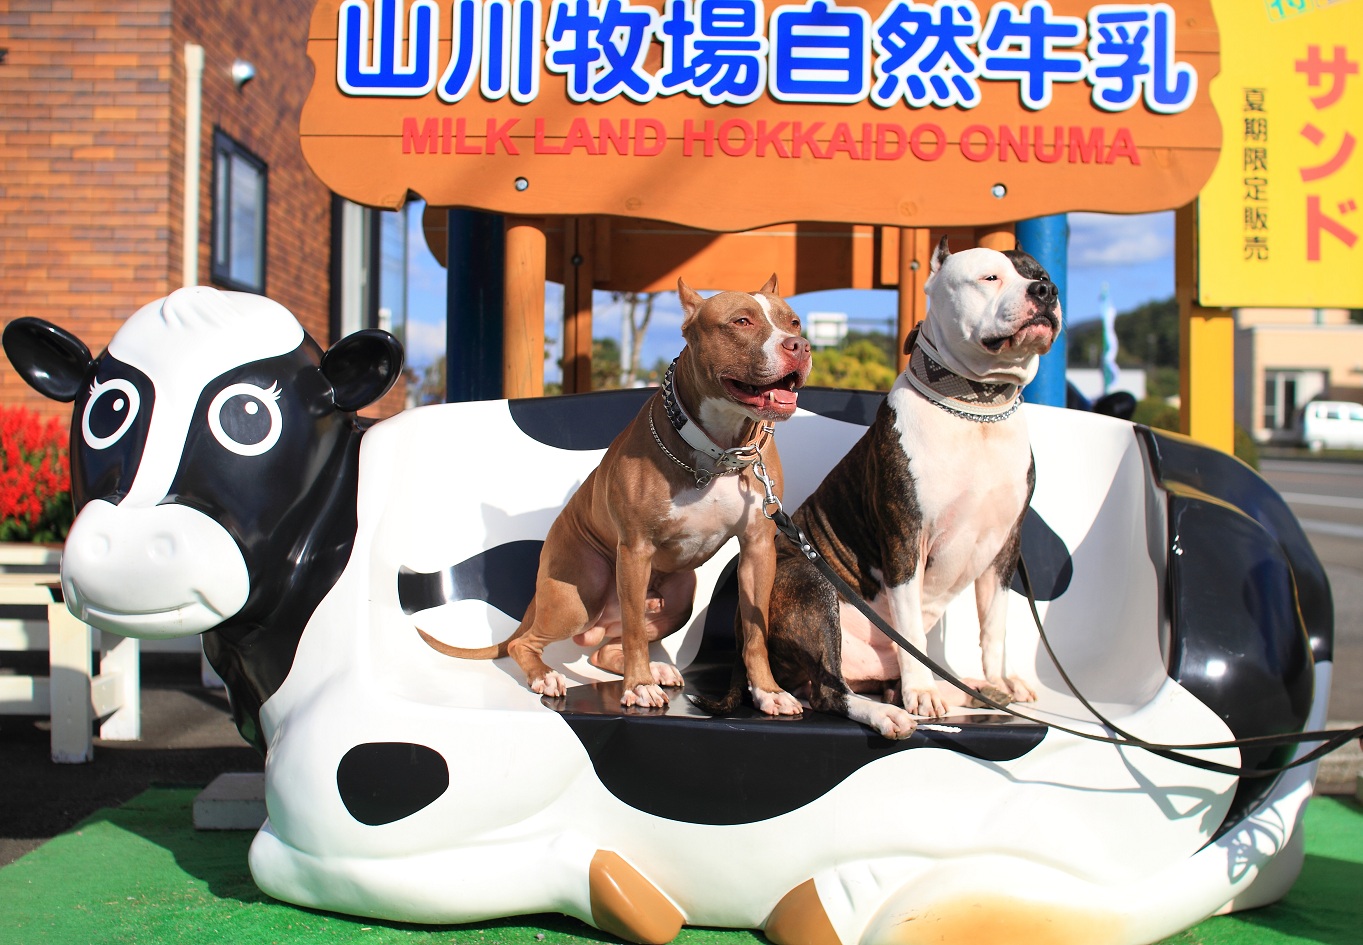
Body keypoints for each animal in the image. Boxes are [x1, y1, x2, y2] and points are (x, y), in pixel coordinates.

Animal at [419, 276, 811, 712]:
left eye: (793, 322)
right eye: (742, 321)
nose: (799, 346)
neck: (719, 450)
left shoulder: (758, 548)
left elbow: (756, 632)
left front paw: (768, 691)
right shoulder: (635, 549)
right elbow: (636, 633)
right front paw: (638, 686)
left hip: (681, 595)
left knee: (604, 648)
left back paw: (654, 668)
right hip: (580, 592)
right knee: (532, 642)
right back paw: (548, 676)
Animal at [761, 238, 1061, 738]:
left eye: (1041, 275)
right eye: (990, 277)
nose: (1045, 291)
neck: (976, 410)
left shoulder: (1003, 550)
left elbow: (994, 627)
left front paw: (999, 677)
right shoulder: (905, 539)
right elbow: (911, 630)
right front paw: (922, 692)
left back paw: (978, 688)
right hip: (809, 585)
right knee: (829, 690)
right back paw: (892, 711)